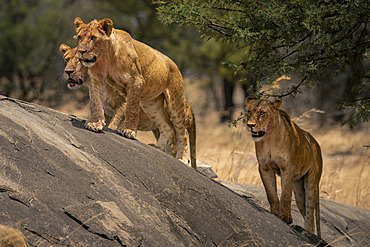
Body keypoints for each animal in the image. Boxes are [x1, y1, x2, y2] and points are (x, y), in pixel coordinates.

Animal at [59, 44, 197, 168]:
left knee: (180, 138)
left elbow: (114, 122)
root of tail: (189, 107)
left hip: (175, 110)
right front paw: (95, 125)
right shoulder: (106, 111)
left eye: (80, 60)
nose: (68, 72)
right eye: (66, 59)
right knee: (166, 130)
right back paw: (157, 147)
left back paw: (181, 159)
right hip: (155, 118)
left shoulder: (125, 101)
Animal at [247, 97, 322, 236]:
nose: (250, 125)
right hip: (298, 191)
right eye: (249, 112)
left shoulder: (287, 167)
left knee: (310, 212)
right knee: (306, 211)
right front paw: (275, 214)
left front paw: (286, 218)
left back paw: (306, 231)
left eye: (262, 113)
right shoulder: (264, 167)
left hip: (311, 182)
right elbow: (271, 193)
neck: (269, 138)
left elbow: (286, 194)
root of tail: (316, 143)